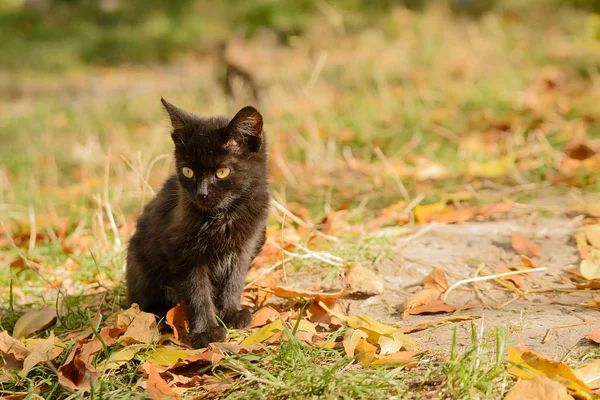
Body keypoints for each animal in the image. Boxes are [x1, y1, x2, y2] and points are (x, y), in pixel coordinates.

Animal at [126, 98, 270, 348]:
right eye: (188, 171)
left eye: (222, 172)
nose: (201, 194)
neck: (222, 217)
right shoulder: (181, 251)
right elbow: (197, 293)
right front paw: (206, 332)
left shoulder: (246, 245)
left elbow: (234, 279)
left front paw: (231, 313)